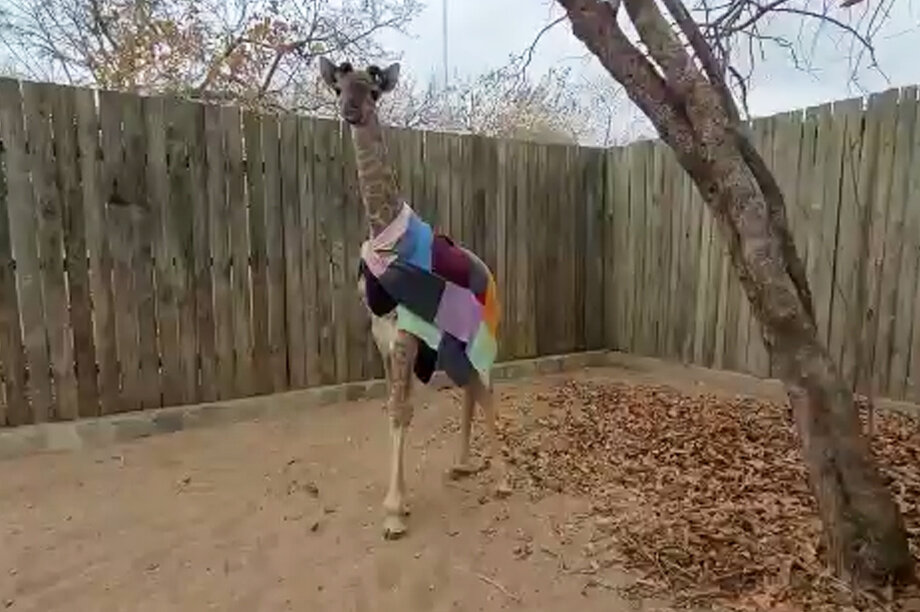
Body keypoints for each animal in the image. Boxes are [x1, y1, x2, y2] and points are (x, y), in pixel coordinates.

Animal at [319, 57, 511, 540]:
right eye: (338, 88)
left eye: (372, 91)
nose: (351, 111)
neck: (385, 233)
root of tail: (490, 271)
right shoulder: (383, 338)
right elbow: (393, 408)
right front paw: (400, 503)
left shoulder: (406, 335)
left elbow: (402, 410)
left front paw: (393, 513)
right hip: (453, 346)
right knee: (471, 389)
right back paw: (462, 464)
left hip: (477, 337)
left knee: (485, 388)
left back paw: (503, 480)